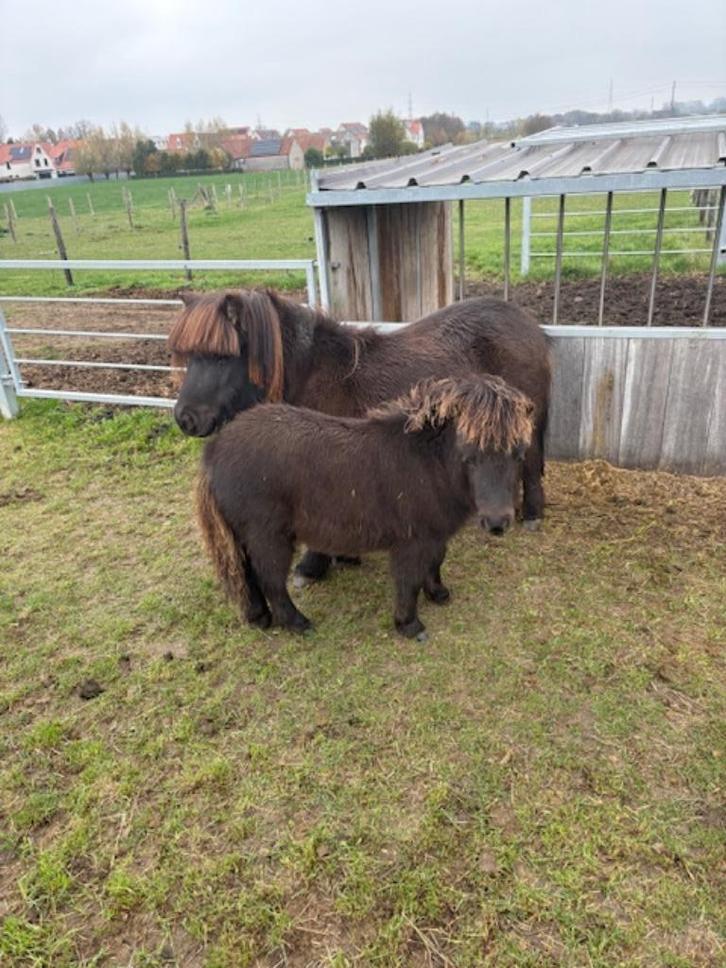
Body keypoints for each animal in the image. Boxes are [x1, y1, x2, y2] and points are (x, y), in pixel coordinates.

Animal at [169, 289, 551, 583]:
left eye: (223, 357)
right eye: (189, 356)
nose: (185, 419)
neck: (313, 373)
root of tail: (527, 322)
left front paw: (313, 565)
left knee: (531, 462)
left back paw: (531, 513)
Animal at [196, 374, 535, 641]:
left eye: (519, 454)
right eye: (469, 457)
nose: (497, 523)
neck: (429, 464)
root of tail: (215, 450)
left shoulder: (433, 535)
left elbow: (434, 562)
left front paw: (438, 594)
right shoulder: (411, 541)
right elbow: (408, 579)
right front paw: (409, 625)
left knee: (247, 574)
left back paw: (259, 618)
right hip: (267, 536)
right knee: (270, 579)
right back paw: (298, 623)